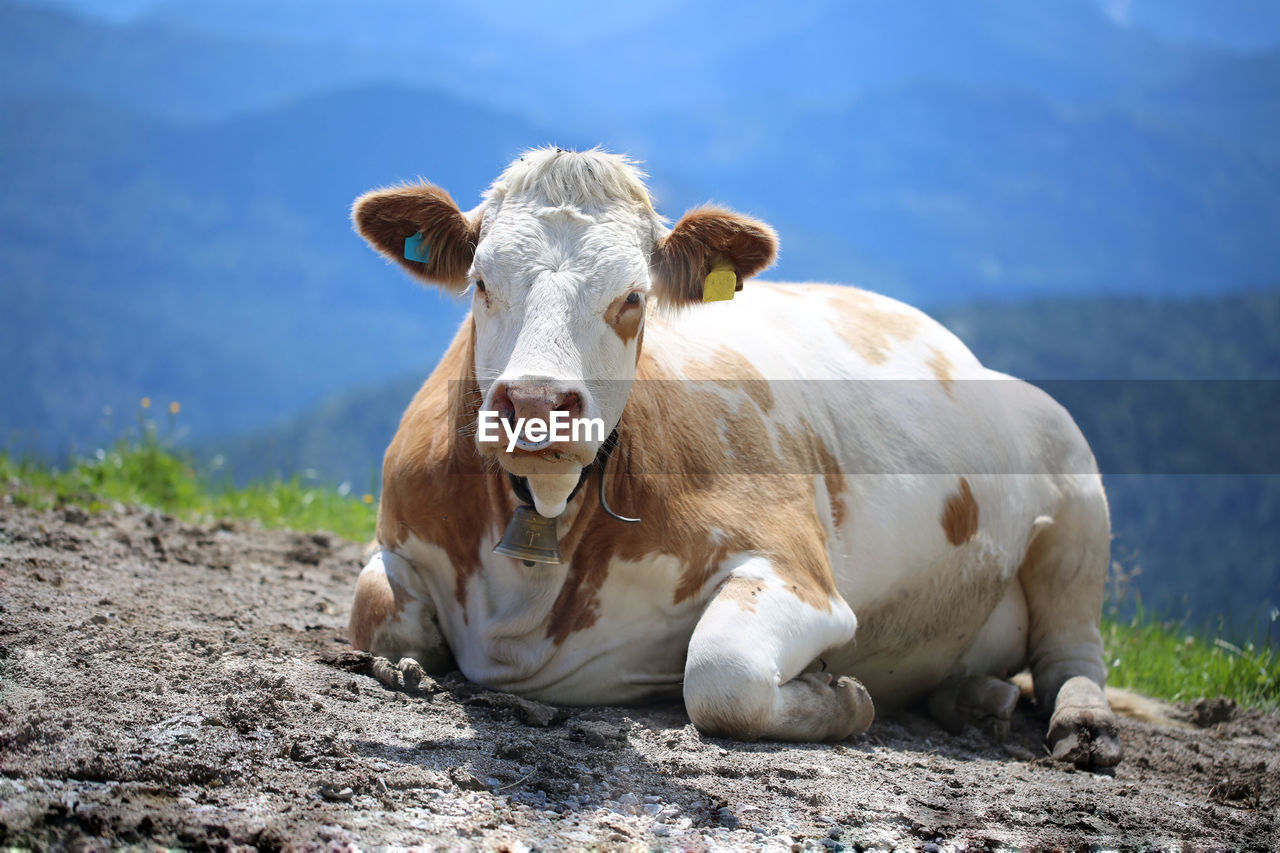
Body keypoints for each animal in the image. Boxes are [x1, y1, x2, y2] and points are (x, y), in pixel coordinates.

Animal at [348, 146, 1121, 763]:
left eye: (634, 297)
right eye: (481, 282)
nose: (537, 405)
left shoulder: (798, 569)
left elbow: (722, 675)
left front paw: (844, 697)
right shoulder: (401, 538)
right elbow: (372, 613)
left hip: (1075, 478)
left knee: (1070, 649)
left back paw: (1083, 725)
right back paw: (973, 699)